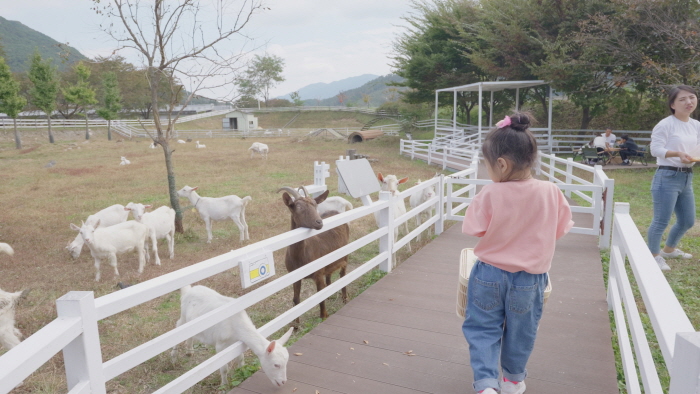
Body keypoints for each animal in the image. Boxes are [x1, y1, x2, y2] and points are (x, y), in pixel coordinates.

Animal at [278, 186, 350, 322]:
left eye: (315, 205)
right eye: (298, 206)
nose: (319, 222)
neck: (300, 257)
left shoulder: (318, 274)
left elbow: (320, 298)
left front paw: (324, 316)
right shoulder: (294, 276)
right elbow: (296, 300)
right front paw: (296, 324)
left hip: (344, 254)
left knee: (343, 273)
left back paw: (345, 298)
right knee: (329, 274)